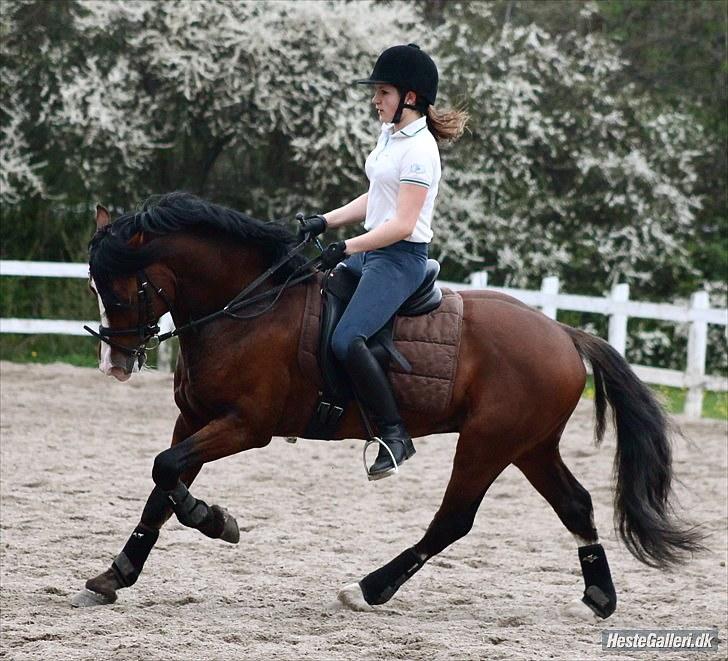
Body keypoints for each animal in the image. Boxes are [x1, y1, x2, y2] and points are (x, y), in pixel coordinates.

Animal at [72, 193, 700, 616]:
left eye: (123, 288)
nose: (115, 364)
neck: (246, 307)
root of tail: (564, 334)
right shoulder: (196, 418)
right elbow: (163, 483)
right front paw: (116, 573)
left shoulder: (245, 426)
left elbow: (167, 471)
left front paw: (215, 521)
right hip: (530, 446)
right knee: (575, 504)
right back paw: (597, 597)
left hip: (489, 442)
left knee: (453, 520)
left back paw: (369, 588)